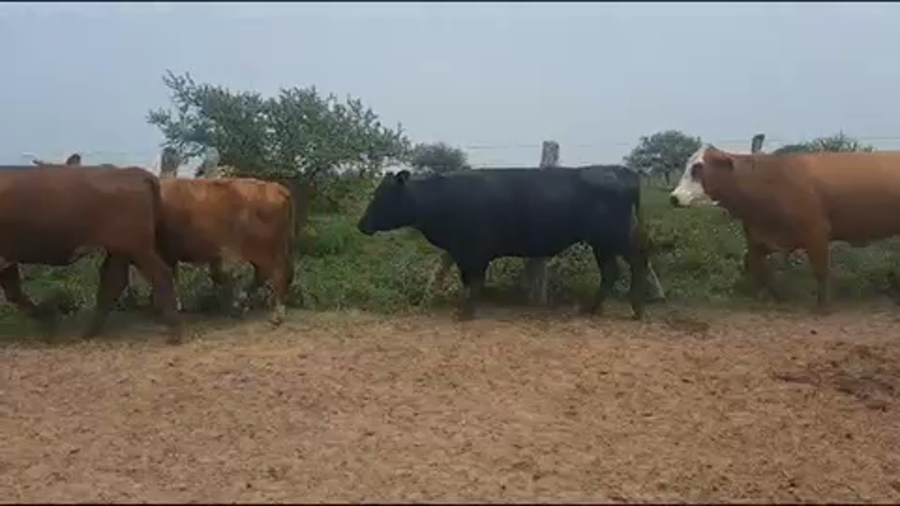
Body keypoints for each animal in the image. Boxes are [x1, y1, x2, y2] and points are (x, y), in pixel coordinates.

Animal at [0, 164, 182, 342]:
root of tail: (136, 173)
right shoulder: (8, 259)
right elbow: (13, 292)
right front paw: (47, 319)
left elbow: (14, 292)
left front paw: (48, 320)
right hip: (120, 251)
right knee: (113, 282)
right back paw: (90, 331)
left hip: (137, 249)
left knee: (161, 275)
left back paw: (174, 331)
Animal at [357, 166, 650, 320]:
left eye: (382, 197)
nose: (362, 224)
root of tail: (619, 171)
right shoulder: (461, 252)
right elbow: (468, 280)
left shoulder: (474, 251)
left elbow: (474, 281)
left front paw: (467, 312)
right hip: (603, 244)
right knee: (611, 272)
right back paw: (592, 309)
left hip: (614, 237)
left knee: (637, 262)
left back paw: (636, 308)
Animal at [669, 144, 900, 313]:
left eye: (698, 167)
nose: (674, 197)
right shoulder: (757, 237)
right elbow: (757, 270)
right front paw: (763, 298)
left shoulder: (816, 233)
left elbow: (821, 271)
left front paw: (823, 307)